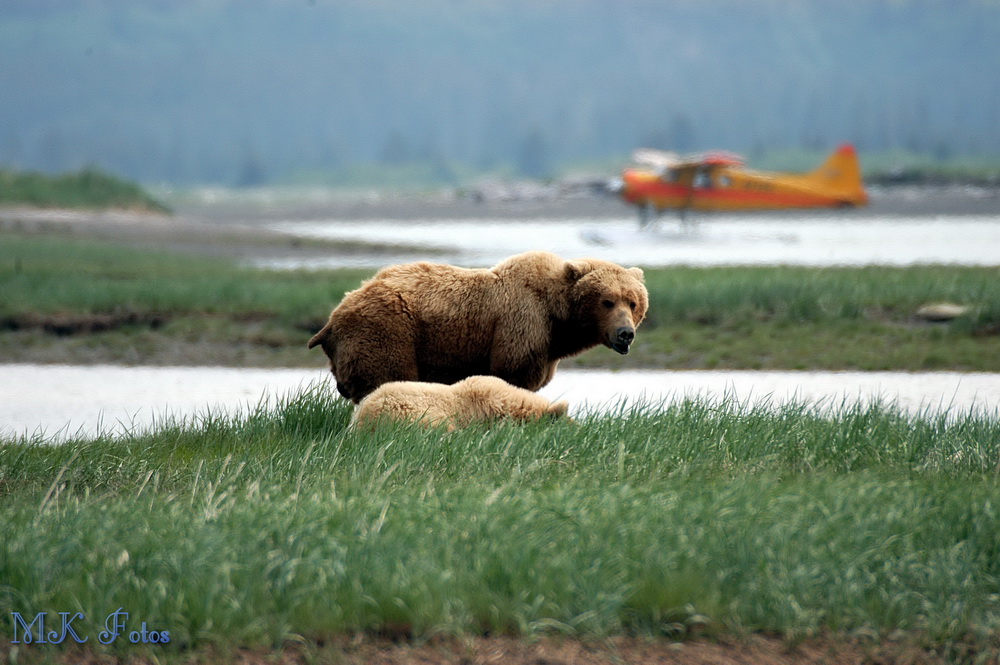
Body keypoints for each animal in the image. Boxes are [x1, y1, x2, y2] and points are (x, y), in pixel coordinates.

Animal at [308, 249, 648, 402]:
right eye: (607, 301)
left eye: (632, 302)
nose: (625, 334)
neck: (557, 319)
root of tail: (333, 318)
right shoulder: (521, 325)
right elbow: (513, 376)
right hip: (387, 331)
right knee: (386, 377)